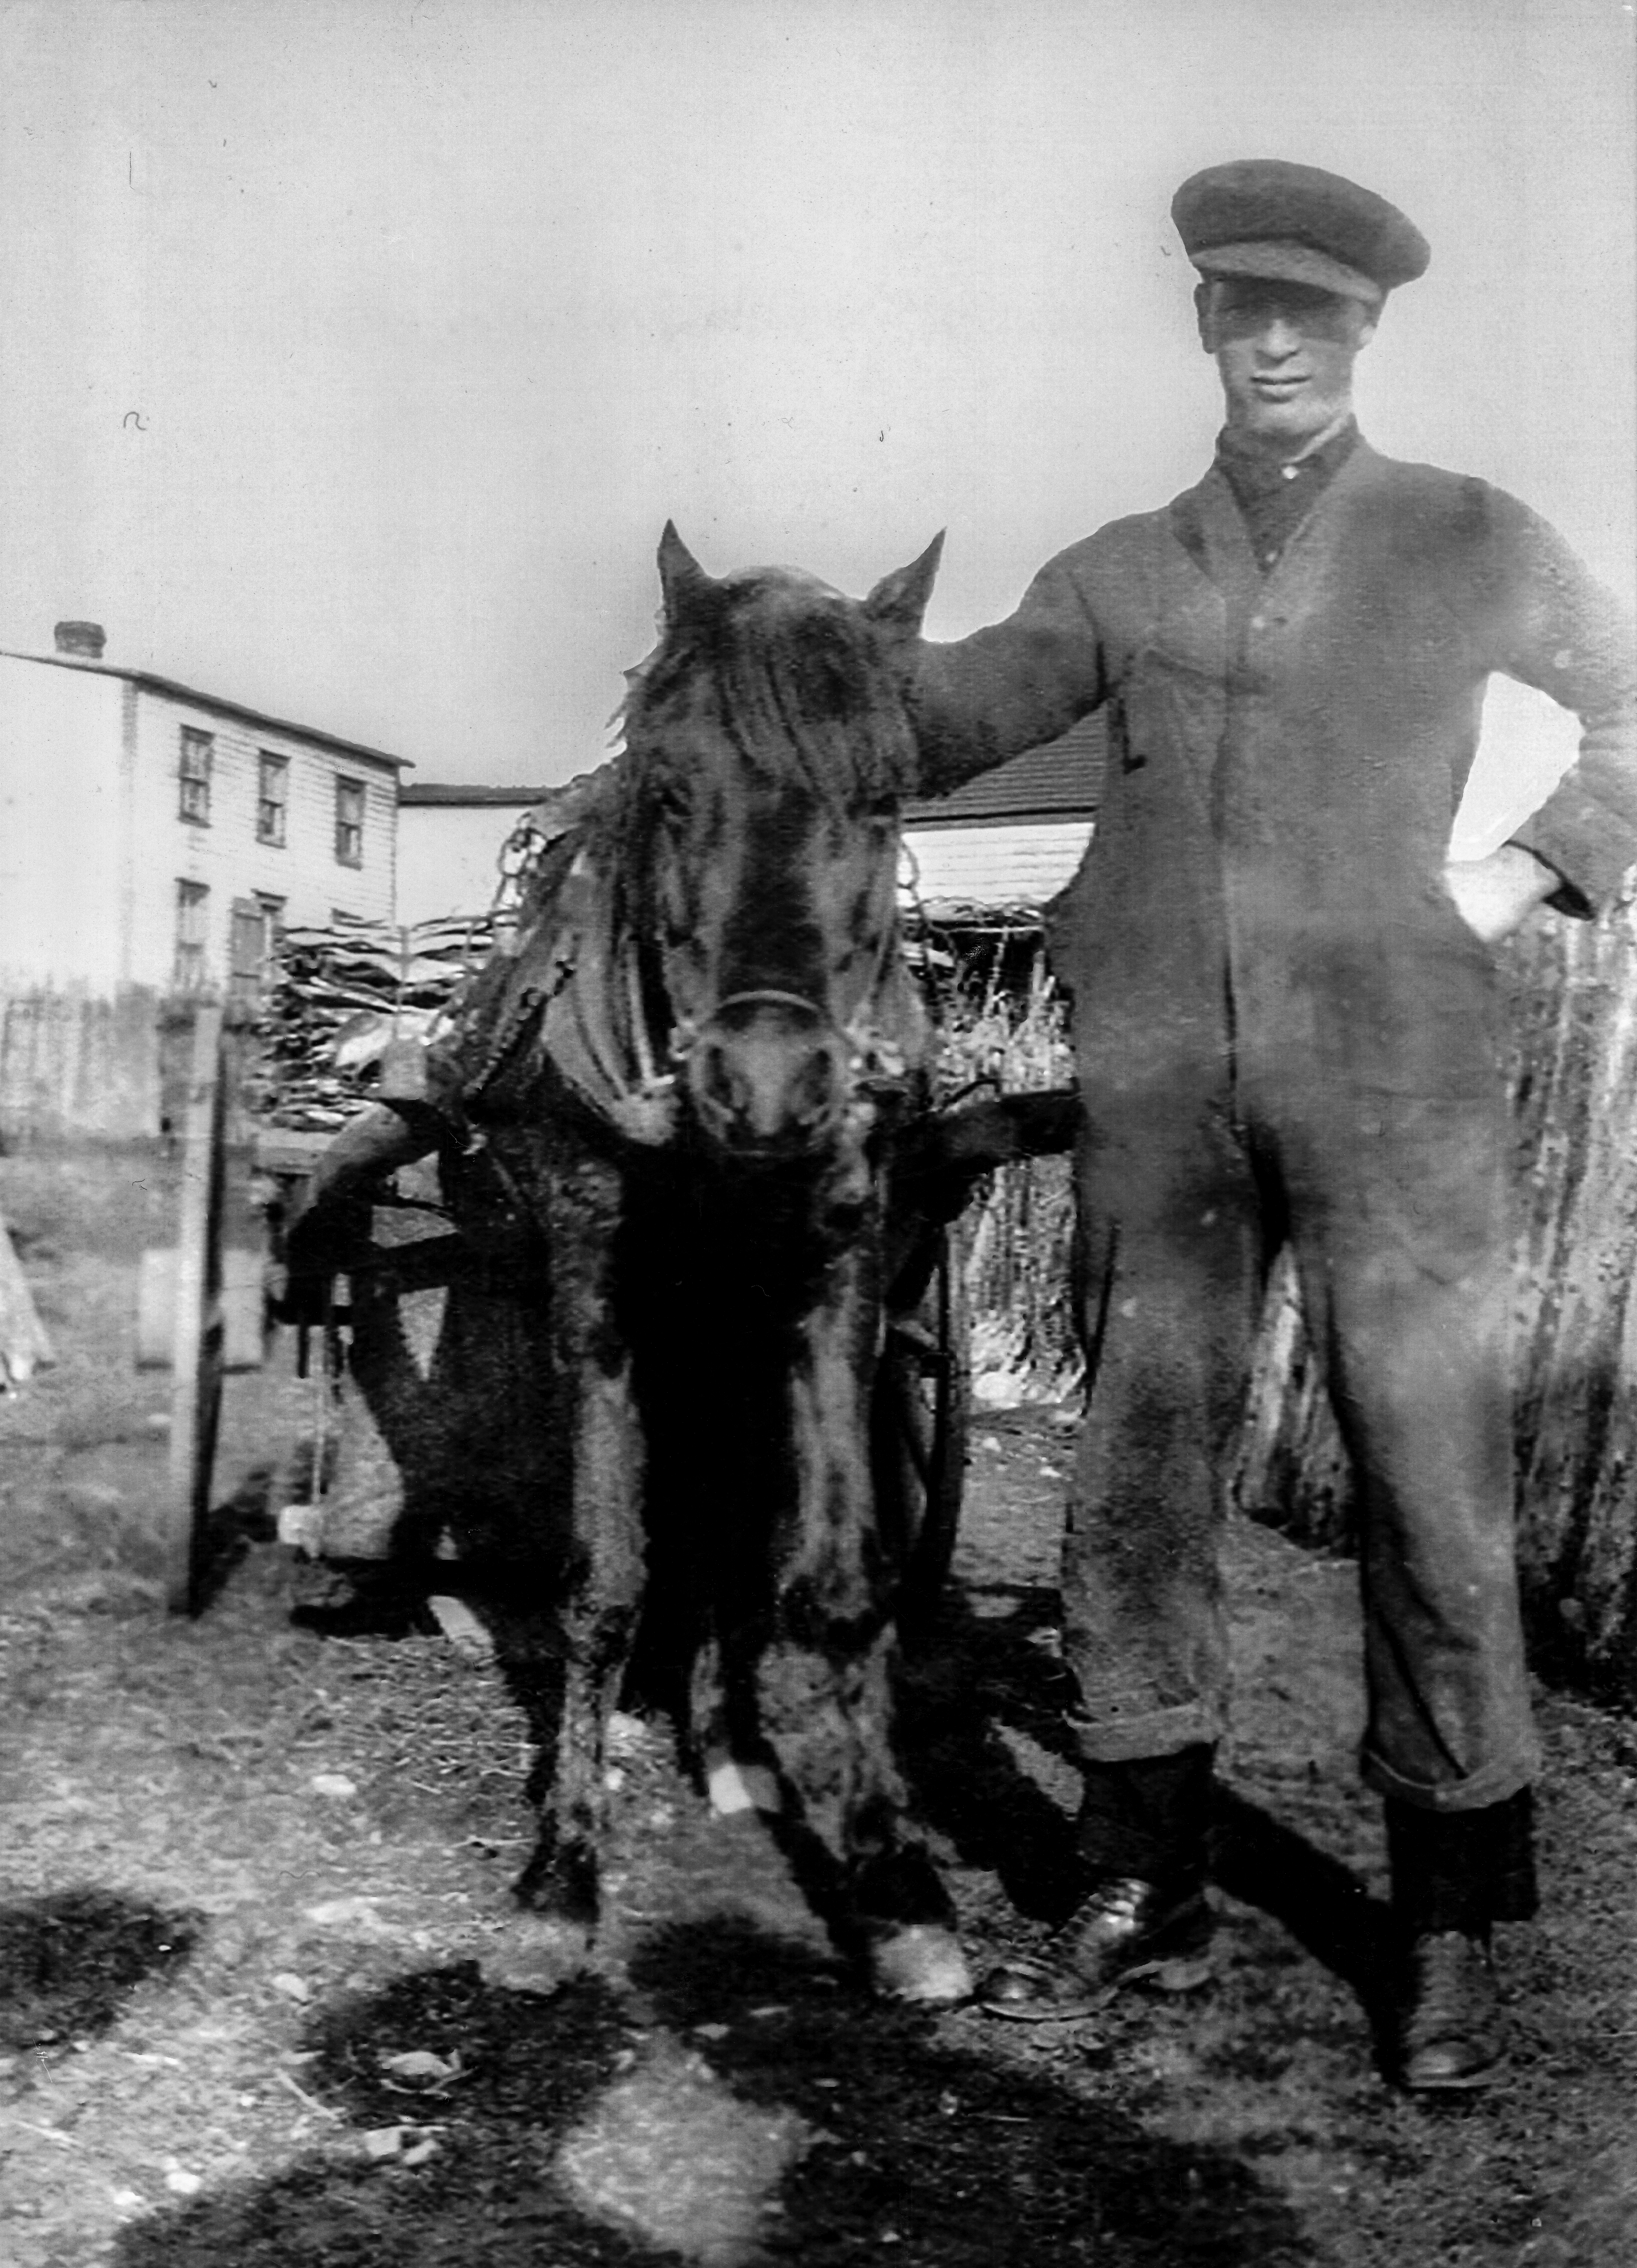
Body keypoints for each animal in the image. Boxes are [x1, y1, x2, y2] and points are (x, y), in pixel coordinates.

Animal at [358, 519, 974, 2004]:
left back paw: (730, 1742)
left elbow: (834, 1577)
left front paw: (892, 1876)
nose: (768, 1082)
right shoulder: (598, 1278)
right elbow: (604, 1573)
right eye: (673, 792)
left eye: (885, 799)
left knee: (717, 1503)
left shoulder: (838, 1272)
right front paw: (559, 1872)